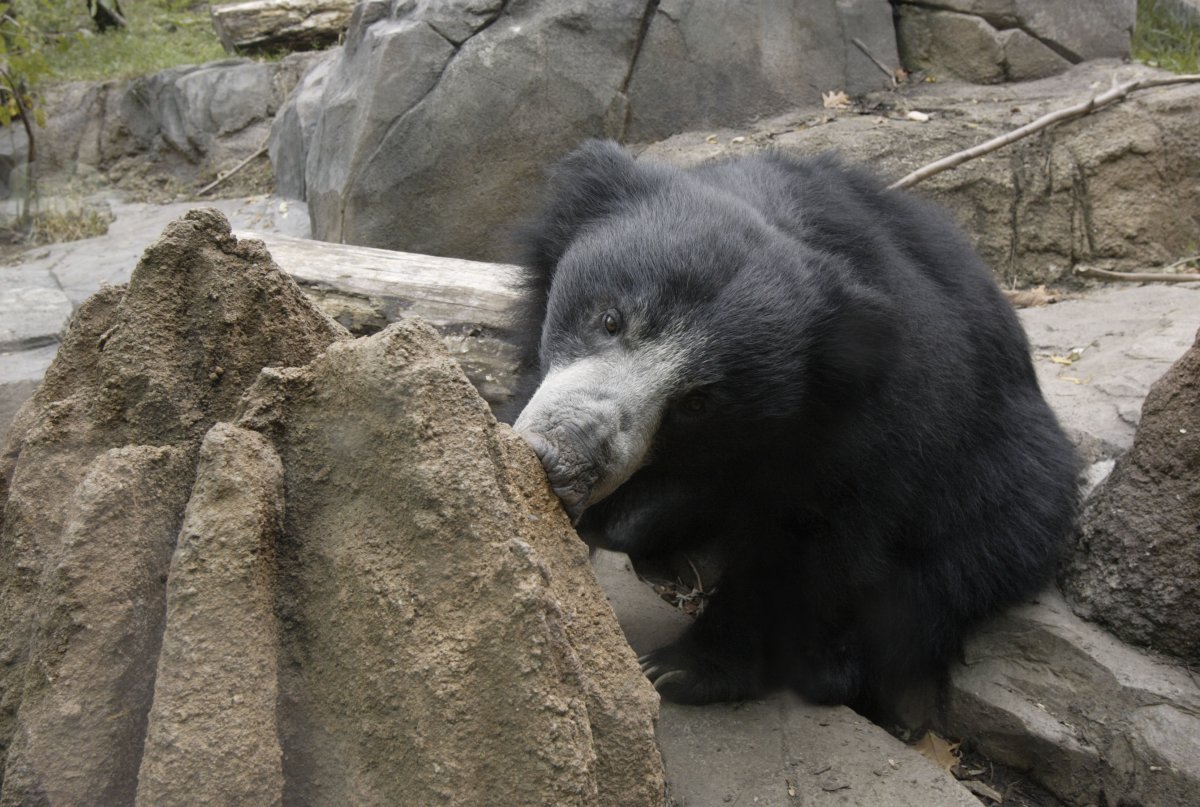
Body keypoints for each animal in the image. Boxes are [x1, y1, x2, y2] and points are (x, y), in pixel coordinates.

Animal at [506, 141, 1080, 715]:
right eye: (610, 320)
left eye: (697, 402)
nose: (566, 458)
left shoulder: (862, 432)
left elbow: (801, 541)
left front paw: (680, 669)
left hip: (1004, 482)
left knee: (948, 573)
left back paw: (836, 669)